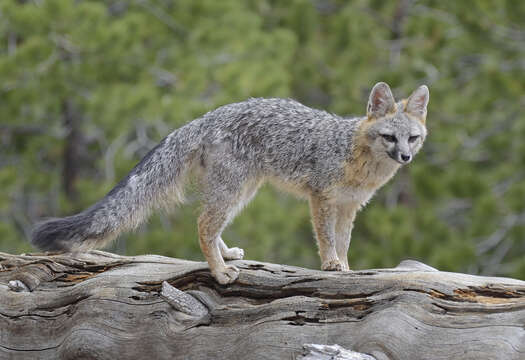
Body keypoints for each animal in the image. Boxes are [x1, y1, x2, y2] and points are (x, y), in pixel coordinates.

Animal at [31, 81, 426, 284]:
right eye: (390, 137)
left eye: (413, 138)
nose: (405, 158)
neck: (356, 157)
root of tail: (204, 117)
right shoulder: (322, 199)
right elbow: (327, 239)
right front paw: (331, 265)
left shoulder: (349, 206)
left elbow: (343, 242)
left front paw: (346, 267)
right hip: (234, 191)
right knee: (204, 225)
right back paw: (219, 272)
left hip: (242, 192)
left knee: (211, 225)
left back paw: (225, 256)